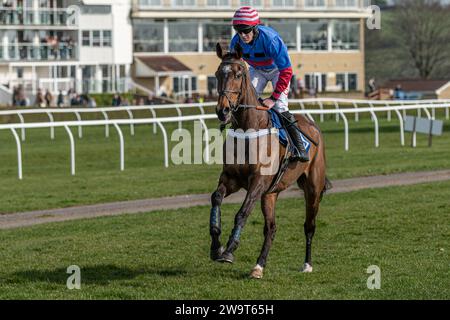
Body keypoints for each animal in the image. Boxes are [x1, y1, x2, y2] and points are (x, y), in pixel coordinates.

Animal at [210, 43, 330, 278]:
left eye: (238, 74)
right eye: (218, 73)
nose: (223, 110)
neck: (250, 127)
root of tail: (313, 126)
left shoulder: (258, 182)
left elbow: (242, 213)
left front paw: (229, 250)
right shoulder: (231, 179)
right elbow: (216, 198)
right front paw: (216, 246)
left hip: (312, 188)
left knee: (309, 226)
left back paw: (307, 264)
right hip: (270, 194)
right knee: (271, 228)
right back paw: (258, 266)